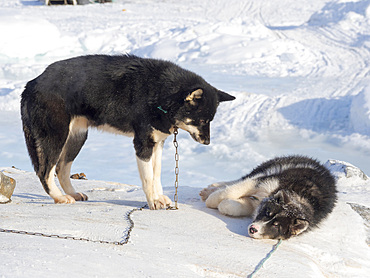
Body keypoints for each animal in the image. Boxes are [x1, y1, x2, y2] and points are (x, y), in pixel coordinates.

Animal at [20, 54, 234, 210]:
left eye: (210, 120)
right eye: (202, 120)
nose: (207, 142)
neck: (161, 95)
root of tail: (31, 84)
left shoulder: (158, 144)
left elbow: (156, 175)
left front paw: (159, 197)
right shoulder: (143, 144)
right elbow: (148, 178)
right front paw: (153, 201)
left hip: (76, 138)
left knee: (61, 169)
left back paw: (71, 193)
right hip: (55, 137)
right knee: (45, 172)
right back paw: (59, 197)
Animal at [201, 155, 336, 240]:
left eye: (277, 225)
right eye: (267, 212)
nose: (253, 229)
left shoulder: (256, 202)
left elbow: (229, 205)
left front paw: (224, 203)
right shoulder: (267, 181)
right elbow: (229, 191)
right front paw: (211, 200)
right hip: (269, 168)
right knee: (241, 179)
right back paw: (211, 189)